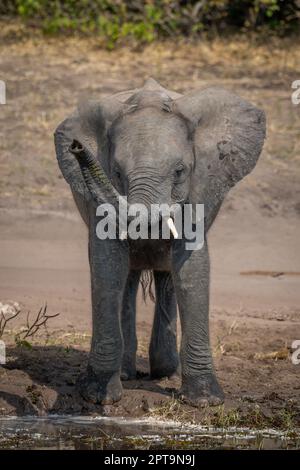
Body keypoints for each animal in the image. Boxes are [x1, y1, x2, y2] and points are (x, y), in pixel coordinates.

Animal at [54, 78, 264, 408]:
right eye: (116, 173)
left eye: (179, 172)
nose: (77, 146)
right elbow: (107, 266)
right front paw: (99, 396)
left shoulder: (200, 186)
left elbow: (191, 269)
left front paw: (205, 401)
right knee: (128, 277)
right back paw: (127, 373)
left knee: (166, 276)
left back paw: (166, 372)